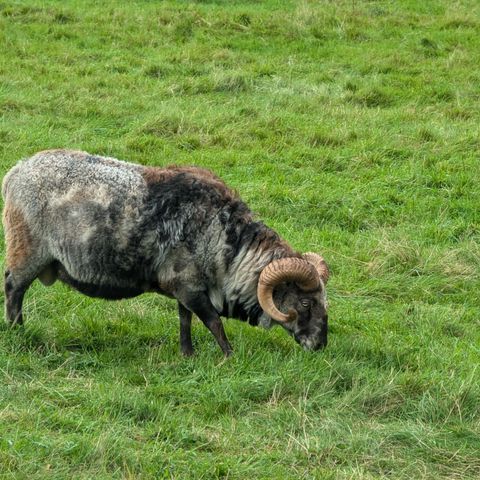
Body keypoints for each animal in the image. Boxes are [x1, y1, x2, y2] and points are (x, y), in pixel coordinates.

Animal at [0, 150, 330, 356]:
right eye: (304, 302)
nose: (320, 344)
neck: (229, 248)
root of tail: (14, 173)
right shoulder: (191, 287)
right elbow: (214, 322)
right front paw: (229, 356)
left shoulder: (185, 286)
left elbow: (185, 320)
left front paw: (188, 355)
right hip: (26, 252)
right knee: (14, 289)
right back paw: (18, 331)